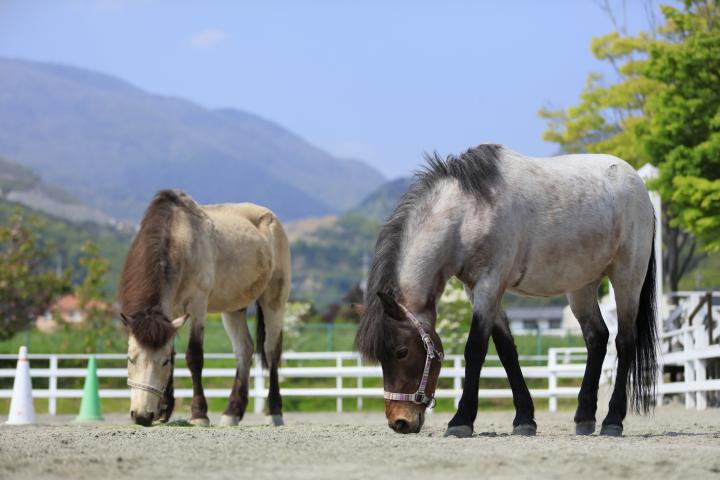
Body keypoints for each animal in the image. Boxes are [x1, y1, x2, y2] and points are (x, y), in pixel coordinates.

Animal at [118, 189, 290, 426]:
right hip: (233, 308)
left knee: (271, 351)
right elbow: (175, 351)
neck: (178, 238)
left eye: (163, 362)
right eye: (130, 358)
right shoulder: (171, 313)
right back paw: (232, 412)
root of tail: (272, 218)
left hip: (274, 300)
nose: (143, 416)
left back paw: (273, 412)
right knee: (244, 349)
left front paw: (199, 414)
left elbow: (194, 357)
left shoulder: (197, 305)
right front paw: (164, 411)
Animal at [354, 145, 660, 438]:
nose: (399, 422)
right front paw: (524, 419)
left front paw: (461, 421)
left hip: (627, 277)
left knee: (624, 341)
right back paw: (584, 417)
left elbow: (475, 348)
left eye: (402, 352)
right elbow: (506, 350)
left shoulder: (489, 285)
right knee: (597, 338)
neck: (468, 212)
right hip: (581, 286)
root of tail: (639, 184)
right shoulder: (478, 290)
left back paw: (612, 421)